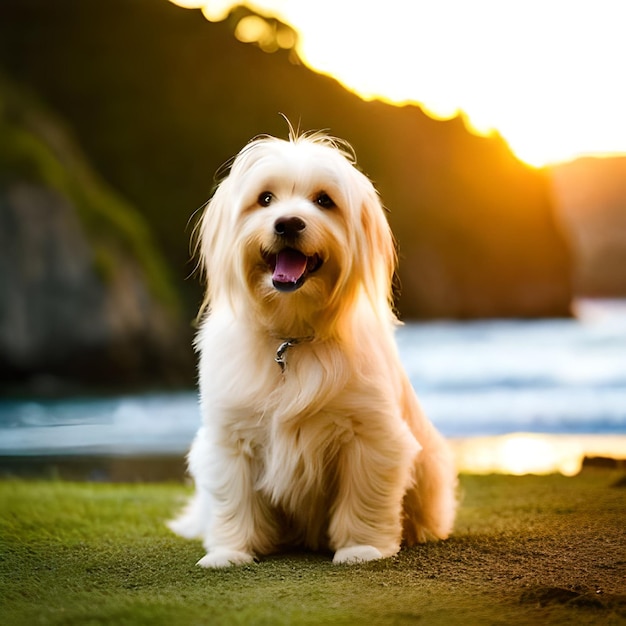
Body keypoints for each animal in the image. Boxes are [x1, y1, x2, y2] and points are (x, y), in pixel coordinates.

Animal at [168, 128, 456, 564]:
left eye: (324, 200)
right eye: (265, 199)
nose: (288, 223)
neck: (292, 336)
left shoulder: (370, 435)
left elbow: (364, 496)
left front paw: (361, 547)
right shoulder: (230, 436)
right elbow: (234, 498)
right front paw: (230, 551)